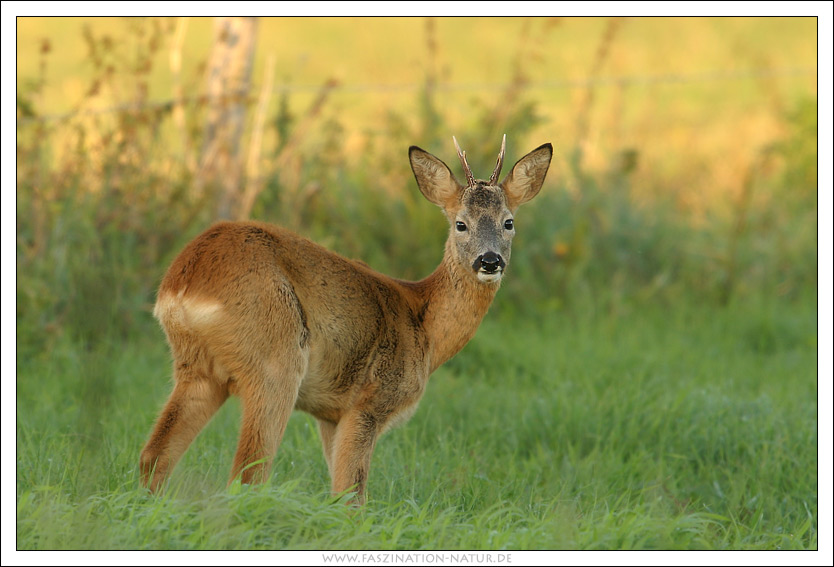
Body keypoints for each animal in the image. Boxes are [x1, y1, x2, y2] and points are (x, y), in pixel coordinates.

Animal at [140, 135, 548, 504]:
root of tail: (182, 282)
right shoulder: (368, 402)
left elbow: (337, 493)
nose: (490, 260)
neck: (424, 323)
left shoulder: (330, 414)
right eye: (461, 224)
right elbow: (352, 495)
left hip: (197, 369)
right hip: (274, 359)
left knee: (154, 456)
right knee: (248, 473)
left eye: (508, 222)